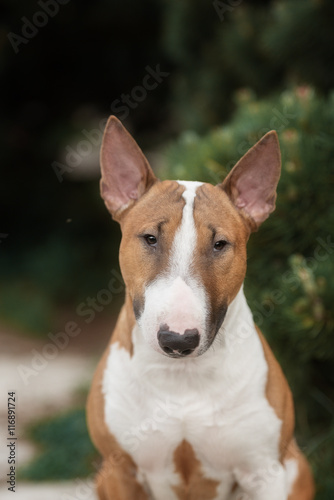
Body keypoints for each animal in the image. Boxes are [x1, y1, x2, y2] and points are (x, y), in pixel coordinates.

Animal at [87, 116, 316, 500]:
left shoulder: (265, 471)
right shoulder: (121, 471)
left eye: (220, 244)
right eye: (150, 238)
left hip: (297, 467)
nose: (178, 341)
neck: (183, 377)